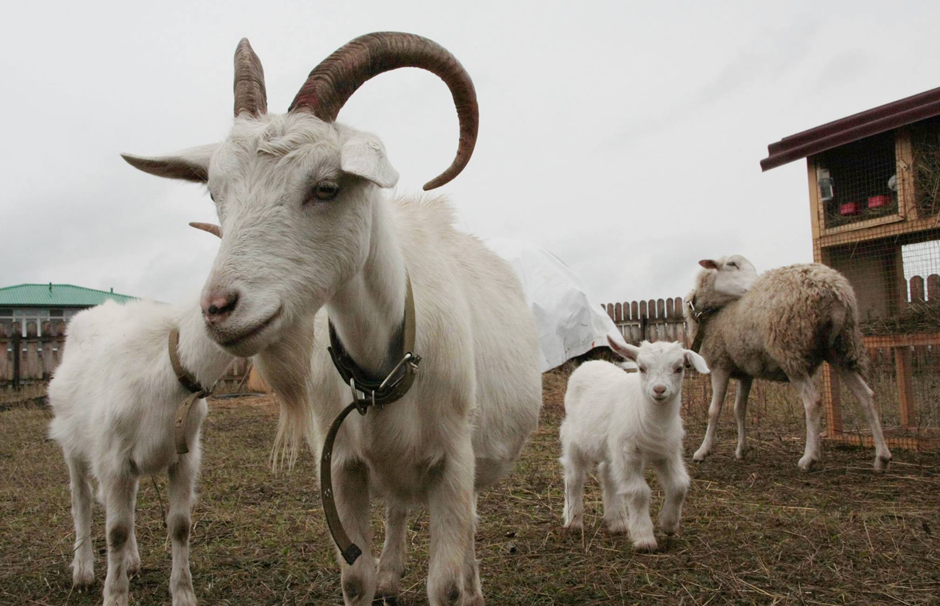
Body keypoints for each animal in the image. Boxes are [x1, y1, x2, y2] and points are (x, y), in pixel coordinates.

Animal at [123, 33, 544, 606]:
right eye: (215, 192)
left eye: (326, 187)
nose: (218, 309)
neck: (386, 369)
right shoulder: (343, 465)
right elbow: (354, 577)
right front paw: (376, 579)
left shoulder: (453, 464)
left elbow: (446, 584)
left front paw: (461, 587)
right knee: (398, 508)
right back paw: (391, 575)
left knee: (468, 531)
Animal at [560, 340, 704, 552]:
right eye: (641, 368)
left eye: (679, 368)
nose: (659, 389)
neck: (654, 421)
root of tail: (590, 362)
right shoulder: (628, 454)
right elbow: (638, 493)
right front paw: (644, 538)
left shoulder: (667, 452)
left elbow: (679, 484)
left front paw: (668, 524)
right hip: (574, 438)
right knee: (574, 477)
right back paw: (573, 521)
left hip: (611, 446)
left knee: (607, 473)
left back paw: (618, 522)